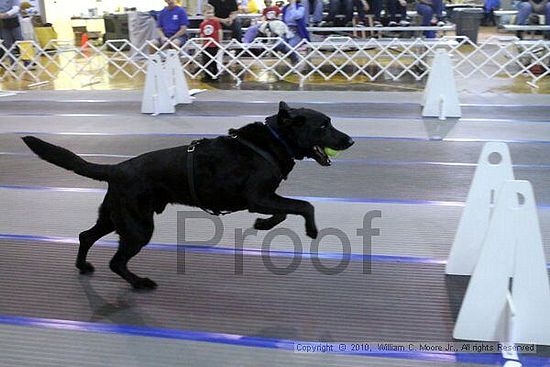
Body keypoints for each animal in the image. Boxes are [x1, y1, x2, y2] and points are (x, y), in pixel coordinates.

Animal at [22, 101, 354, 290]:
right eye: (324, 125)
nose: (350, 140)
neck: (273, 141)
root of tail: (115, 168)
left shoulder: (264, 198)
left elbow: (285, 210)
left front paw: (263, 225)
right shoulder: (257, 197)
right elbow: (303, 206)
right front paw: (311, 231)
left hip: (115, 218)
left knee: (85, 236)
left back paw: (83, 267)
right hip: (137, 226)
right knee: (116, 261)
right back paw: (140, 283)